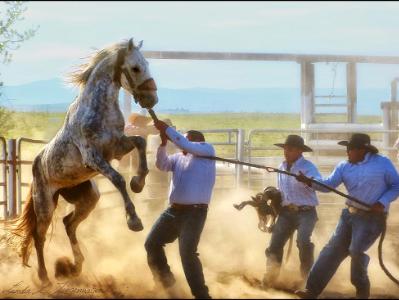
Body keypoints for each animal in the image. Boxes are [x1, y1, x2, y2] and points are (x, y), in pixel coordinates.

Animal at [7, 38, 158, 284]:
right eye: (136, 68)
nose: (152, 99)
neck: (98, 109)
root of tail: (37, 164)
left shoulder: (117, 147)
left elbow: (140, 143)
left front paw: (138, 182)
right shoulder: (94, 157)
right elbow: (118, 179)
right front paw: (134, 220)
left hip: (88, 197)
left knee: (68, 224)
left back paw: (76, 266)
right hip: (45, 204)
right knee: (39, 236)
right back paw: (44, 277)